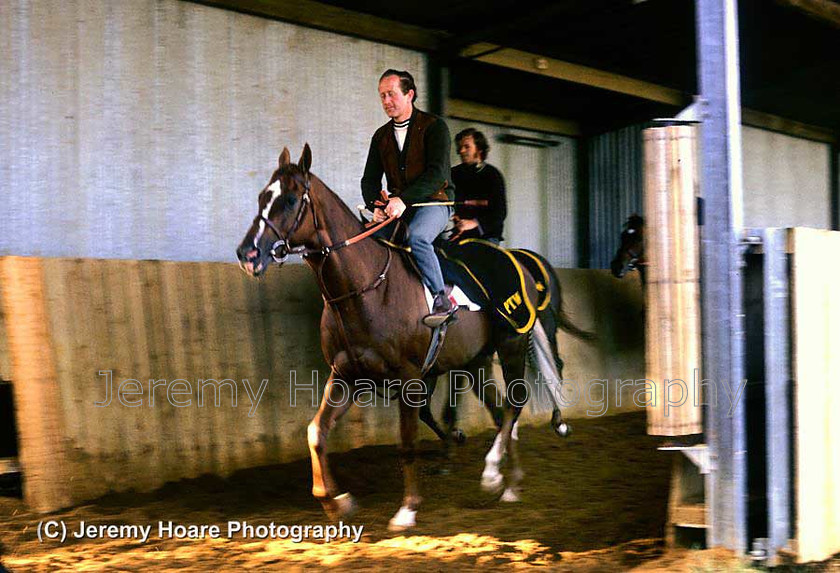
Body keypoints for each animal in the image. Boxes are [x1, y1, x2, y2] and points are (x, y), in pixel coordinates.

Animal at [236, 146, 568, 528]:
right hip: (476, 361)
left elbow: (407, 443)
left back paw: (493, 472)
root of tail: (521, 264)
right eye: (262, 197)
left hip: (510, 343)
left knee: (516, 403)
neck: (366, 289)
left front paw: (407, 509)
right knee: (501, 412)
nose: (247, 254)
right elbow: (315, 433)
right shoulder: (346, 377)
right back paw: (508, 482)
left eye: (290, 200)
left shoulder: (409, 379)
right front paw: (337, 502)